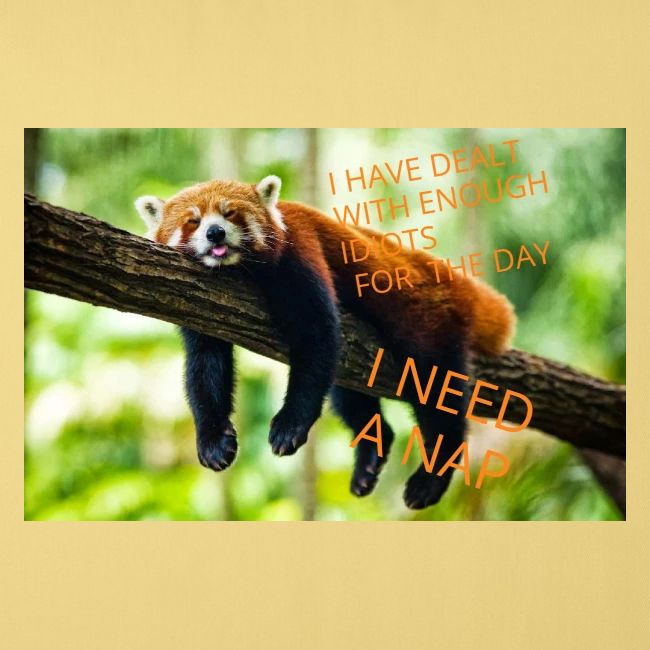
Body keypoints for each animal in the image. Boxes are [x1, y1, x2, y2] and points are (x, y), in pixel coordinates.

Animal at [135, 175, 515, 509]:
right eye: (193, 221)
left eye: (230, 214)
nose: (215, 232)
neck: (238, 270)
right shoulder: (200, 304)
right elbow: (205, 366)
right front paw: (213, 440)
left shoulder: (300, 252)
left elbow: (316, 336)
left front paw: (290, 425)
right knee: (348, 395)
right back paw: (370, 458)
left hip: (427, 322)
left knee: (436, 391)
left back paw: (431, 477)